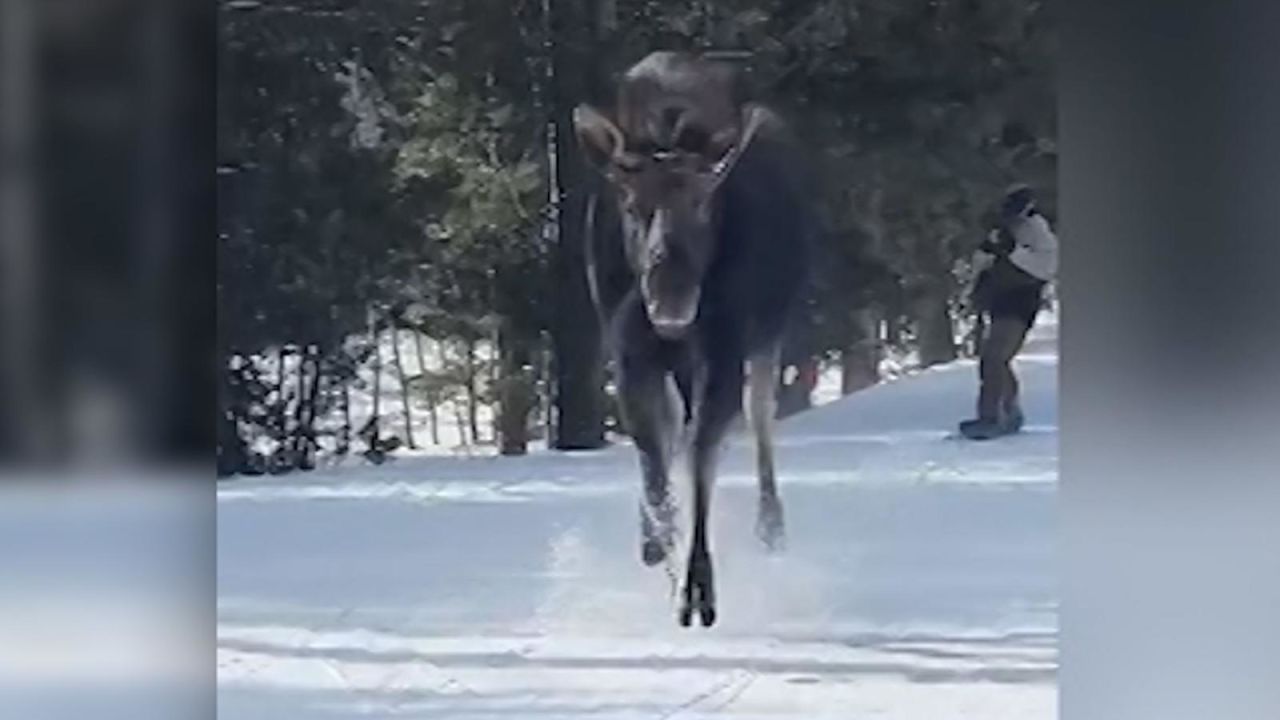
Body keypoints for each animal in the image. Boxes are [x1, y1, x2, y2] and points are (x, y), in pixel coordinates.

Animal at [578, 51, 808, 622]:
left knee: (759, 416)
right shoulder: (630, 354)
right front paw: (658, 541)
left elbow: (699, 460)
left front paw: (698, 585)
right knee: (671, 430)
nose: (672, 301)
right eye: (630, 206)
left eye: (706, 203)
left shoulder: (725, 349)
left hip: (767, 334)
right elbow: (654, 461)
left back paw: (771, 525)